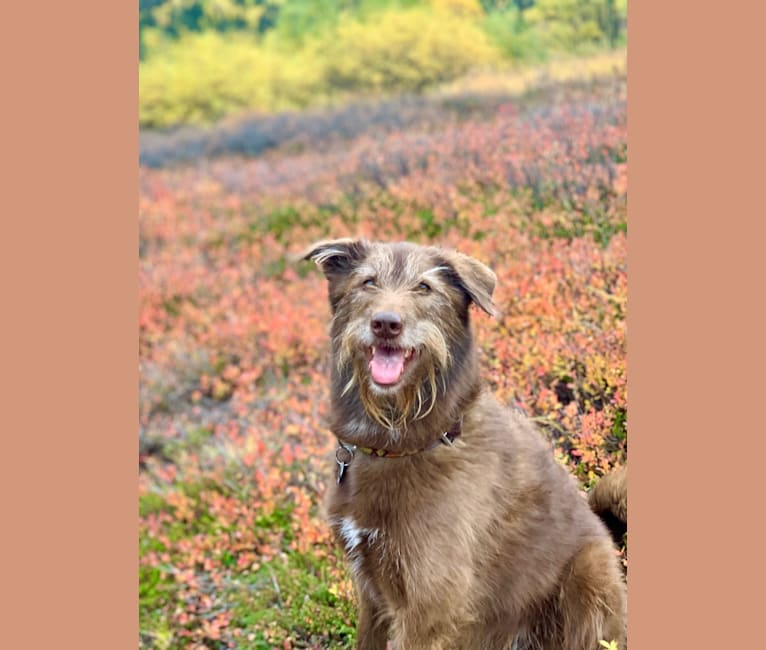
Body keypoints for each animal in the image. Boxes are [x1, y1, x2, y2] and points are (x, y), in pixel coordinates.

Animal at [304, 239, 628, 648]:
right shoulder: (372, 595)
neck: (403, 442)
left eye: (424, 287)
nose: (386, 324)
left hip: (586, 580)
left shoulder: (430, 606)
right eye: (368, 282)